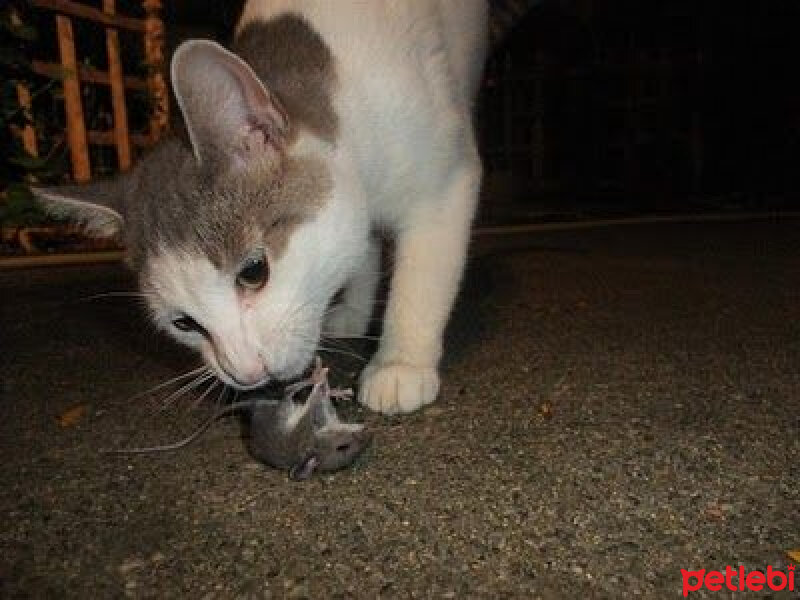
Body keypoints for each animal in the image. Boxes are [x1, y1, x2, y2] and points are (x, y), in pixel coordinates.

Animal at [32, 0, 488, 414]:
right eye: (183, 323)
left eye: (253, 272)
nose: (246, 372)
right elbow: (364, 246)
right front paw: (357, 313)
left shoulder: (444, 181)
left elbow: (422, 278)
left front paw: (401, 362)